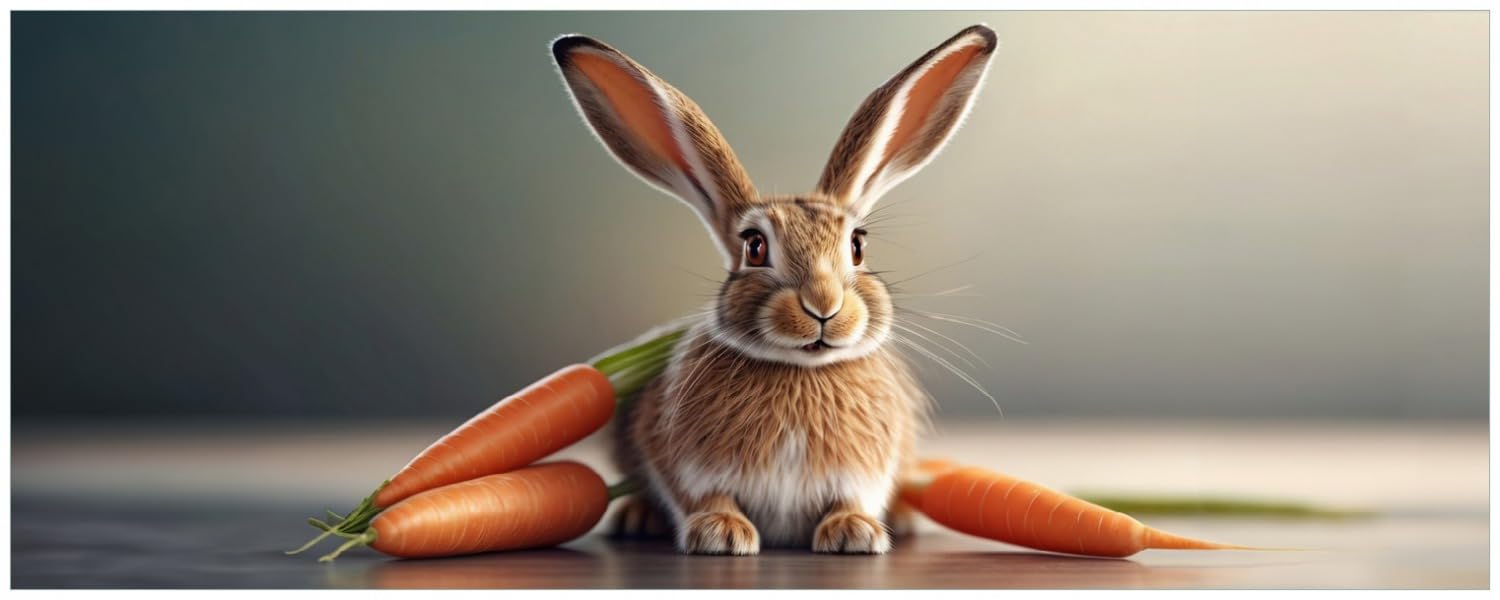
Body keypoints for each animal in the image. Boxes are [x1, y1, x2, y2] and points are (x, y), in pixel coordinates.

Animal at [550, 24, 998, 555]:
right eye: (755, 247)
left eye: (858, 245)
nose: (824, 305)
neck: (800, 369)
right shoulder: (684, 463)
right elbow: (703, 497)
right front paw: (721, 534)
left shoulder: (866, 471)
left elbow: (852, 499)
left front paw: (855, 532)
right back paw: (638, 518)